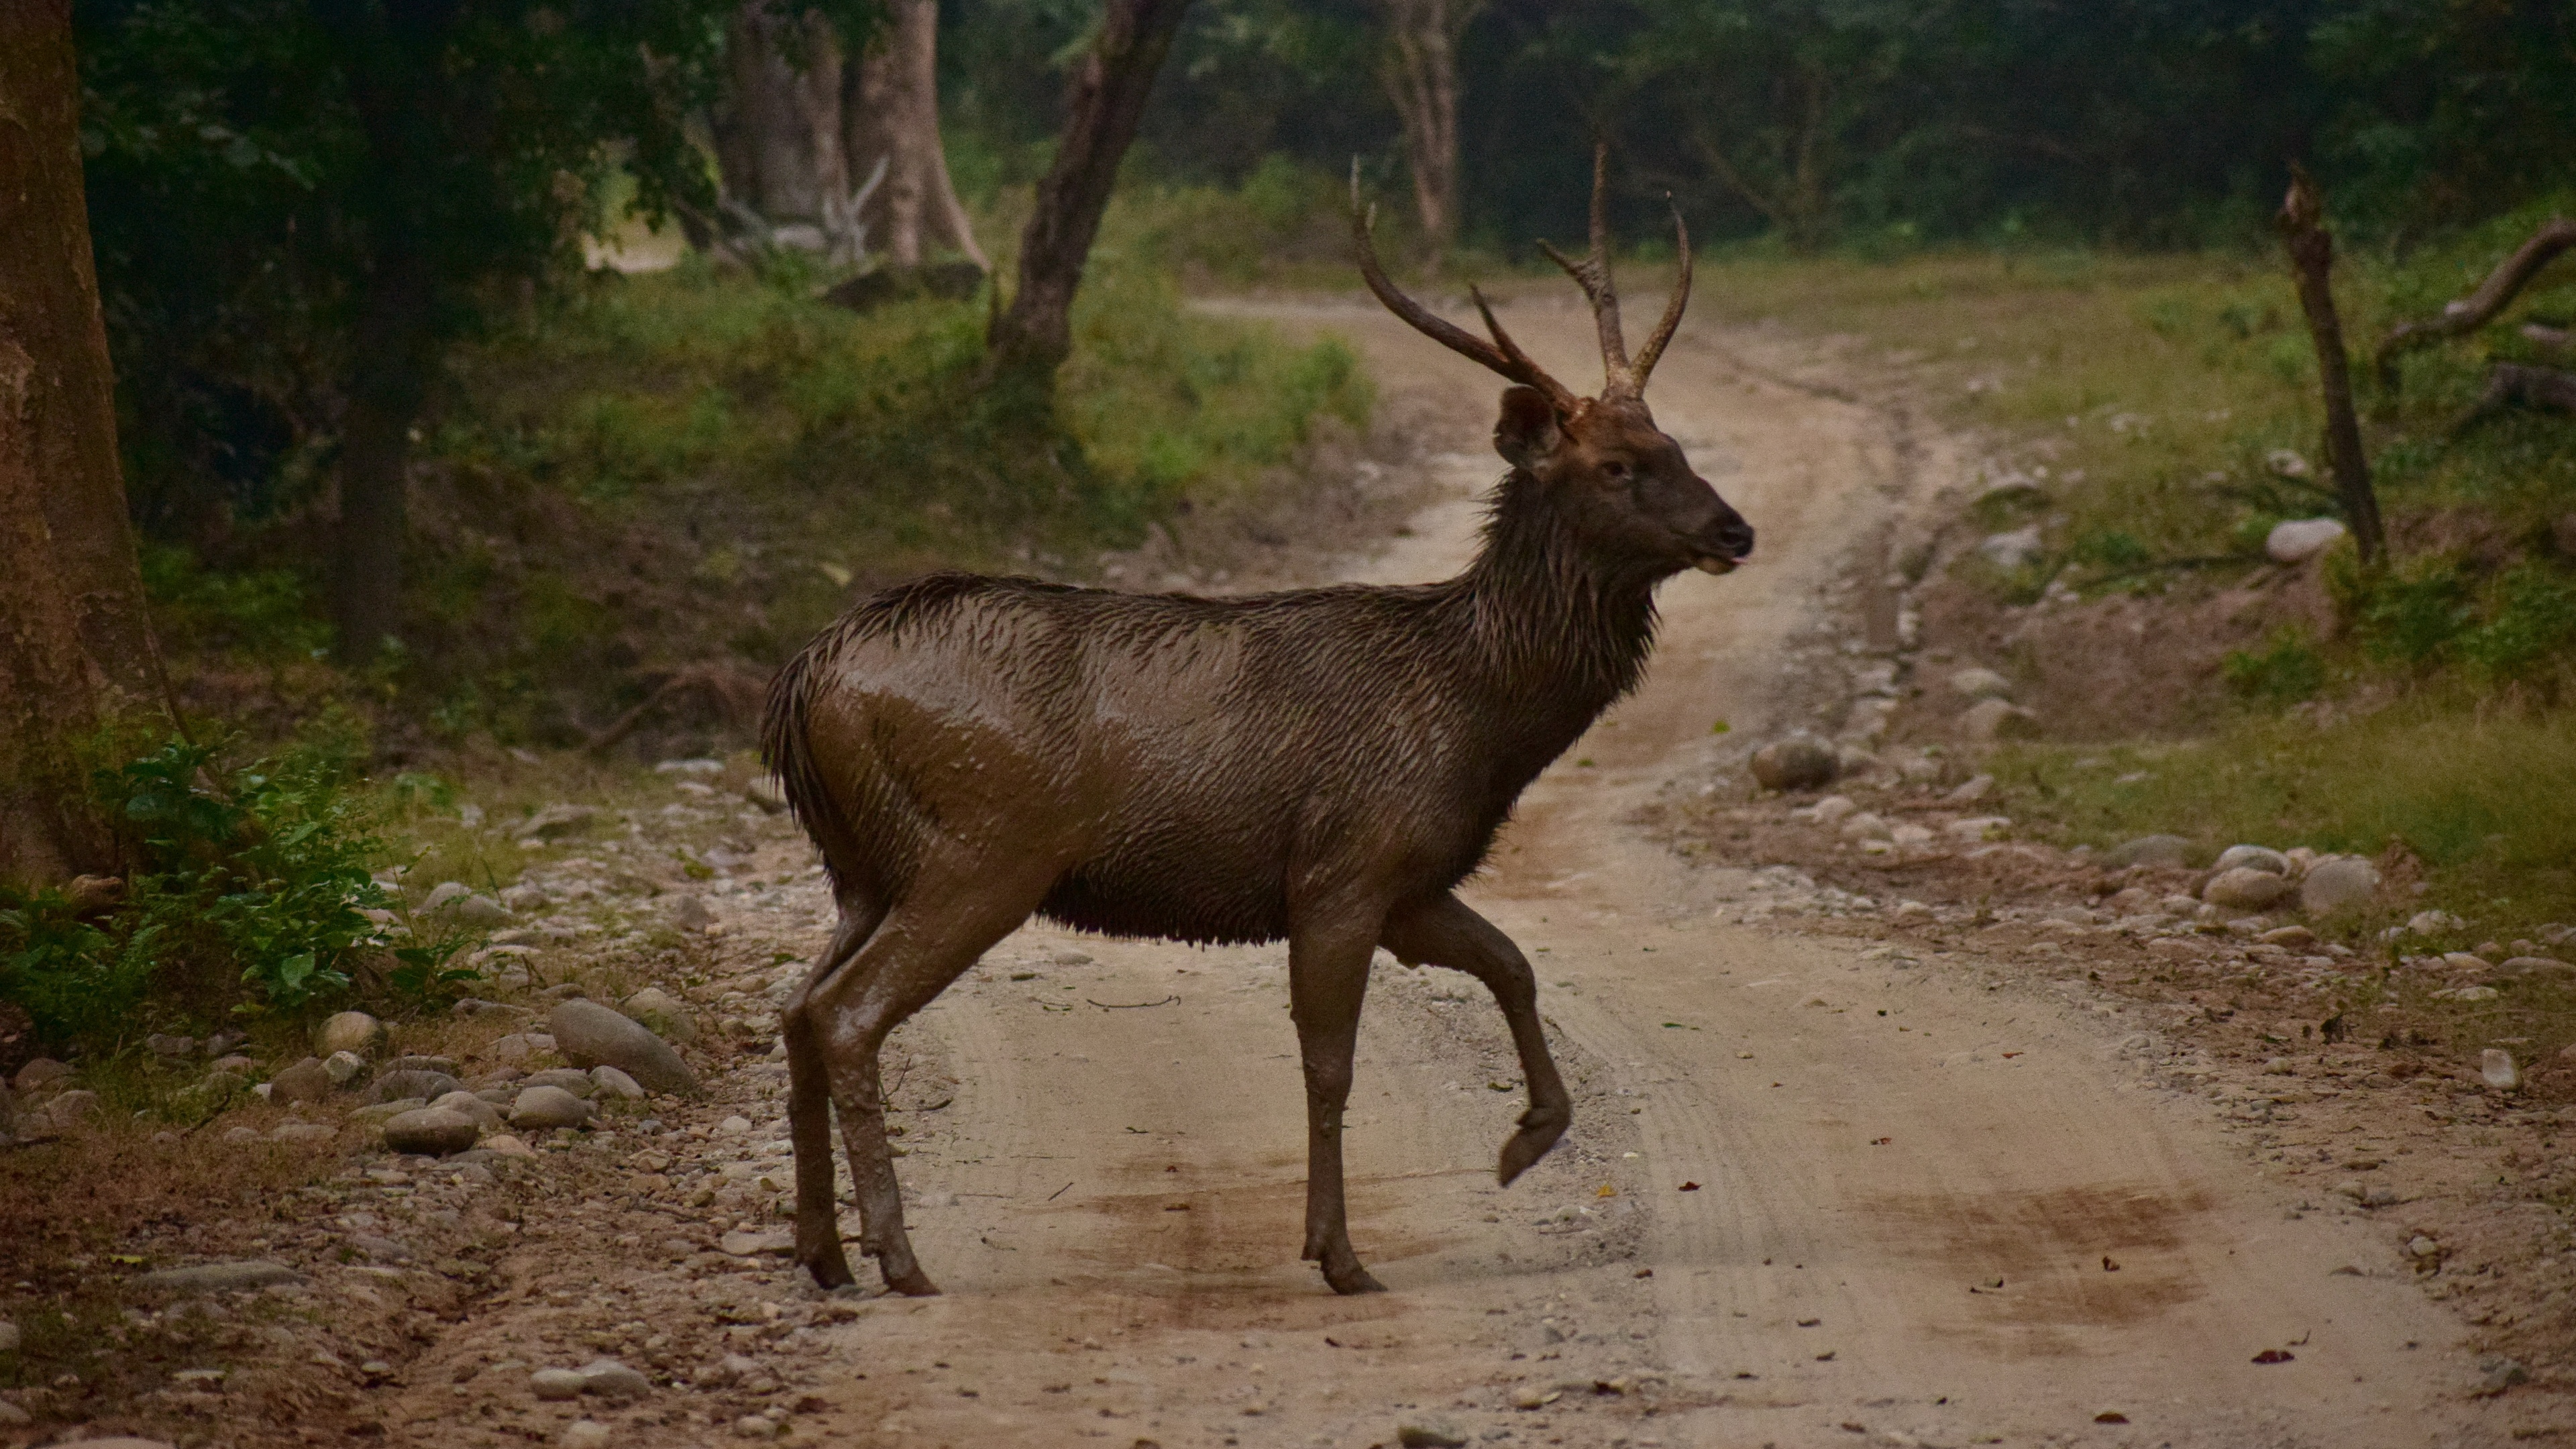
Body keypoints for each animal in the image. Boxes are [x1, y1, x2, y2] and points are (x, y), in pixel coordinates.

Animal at [762, 147, 1752, 1289]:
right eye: (1617, 467)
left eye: (1671, 441)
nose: (1736, 529)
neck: (1476, 718)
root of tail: (807, 680)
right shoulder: (1343, 866)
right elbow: (1330, 1064)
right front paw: (1339, 1253)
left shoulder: (1412, 882)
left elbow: (1513, 961)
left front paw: (1527, 1139)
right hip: (978, 849)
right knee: (846, 1015)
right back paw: (899, 1256)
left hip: (863, 865)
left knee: (795, 1009)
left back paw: (823, 1252)